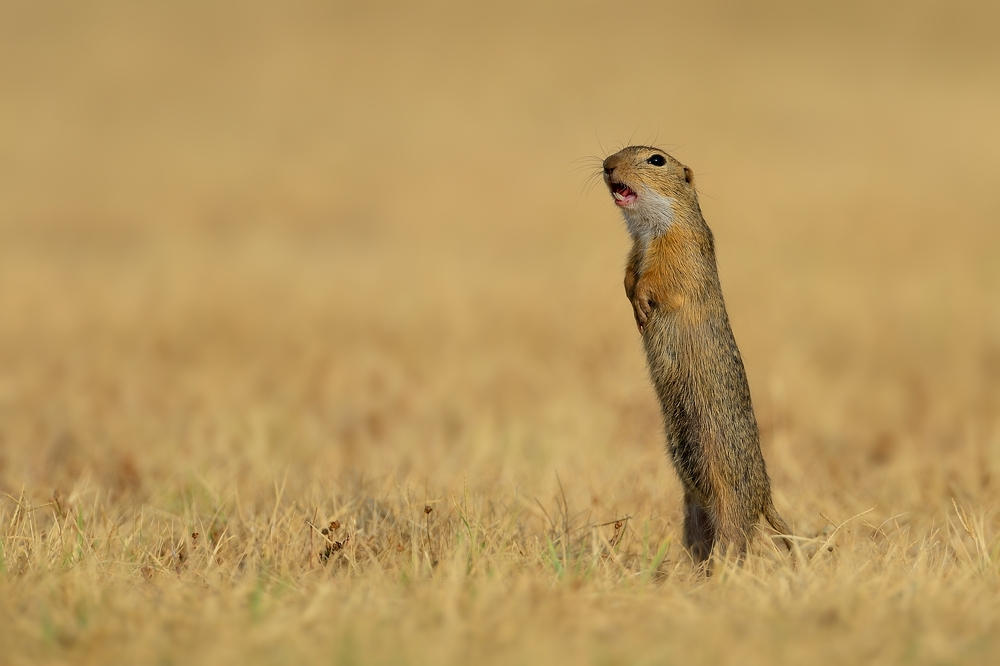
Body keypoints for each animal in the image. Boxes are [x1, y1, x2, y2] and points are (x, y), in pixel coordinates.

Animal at [596, 145, 792, 560]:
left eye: (656, 160)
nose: (607, 164)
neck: (649, 230)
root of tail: (764, 496)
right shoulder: (634, 253)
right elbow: (627, 278)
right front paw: (633, 308)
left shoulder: (679, 254)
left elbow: (655, 283)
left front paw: (642, 306)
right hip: (694, 514)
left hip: (730, 509)